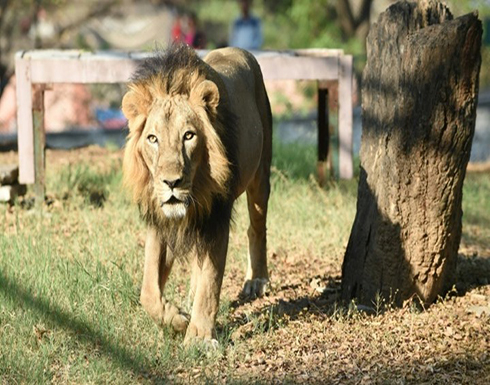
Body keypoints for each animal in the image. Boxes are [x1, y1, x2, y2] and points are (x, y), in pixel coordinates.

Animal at [119, 44, 272, 344]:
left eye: (188, 136)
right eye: (152, 139)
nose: (171, 182)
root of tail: (238, 49)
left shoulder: (216, 217)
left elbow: (210, 282)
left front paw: (199, 336)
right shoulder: (160, 220)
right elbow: (148, 291)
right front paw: (177, 319)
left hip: (261, 175)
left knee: (257, 226)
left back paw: (256, 281)